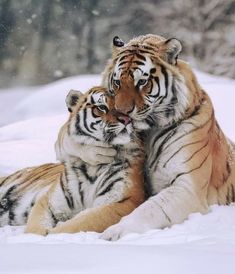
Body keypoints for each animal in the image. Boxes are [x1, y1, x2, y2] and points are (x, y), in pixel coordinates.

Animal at [0, 86, 145, 235]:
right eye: (102, 107)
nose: (126, 120)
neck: (93, 168)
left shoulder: (125, 202)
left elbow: (83, 222)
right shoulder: (50, 200)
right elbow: (37, 225)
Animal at [88, 33, 233, 240]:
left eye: (142, 82)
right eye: (117, 82)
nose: (122, 113)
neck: (148, 133)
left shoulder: (188, 188)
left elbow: (152, 208)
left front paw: (114, 232)